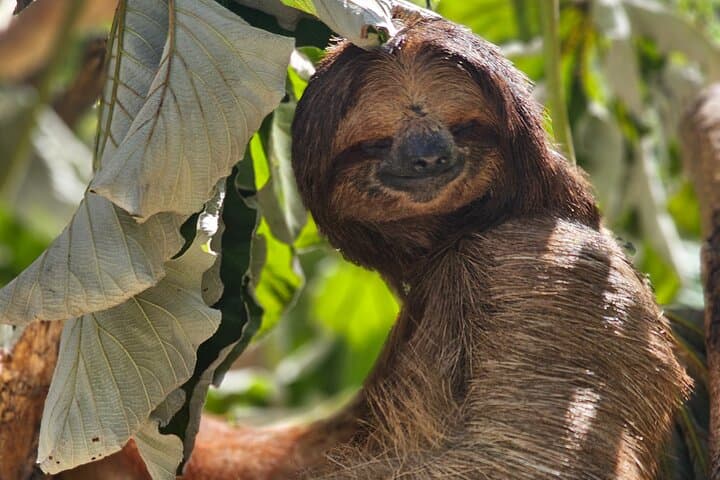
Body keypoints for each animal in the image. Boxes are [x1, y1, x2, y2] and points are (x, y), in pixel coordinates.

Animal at [62, 8, 691, 480]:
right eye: (377, 139)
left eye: (461, 123)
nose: (428, 155)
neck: (457, 239)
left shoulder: (541, 267)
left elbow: (509, 456)